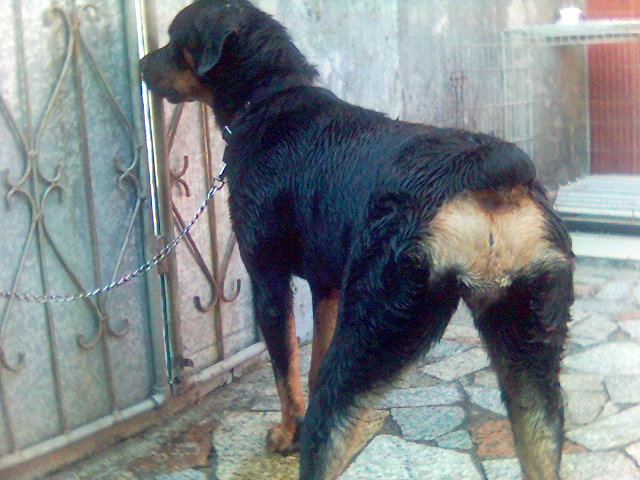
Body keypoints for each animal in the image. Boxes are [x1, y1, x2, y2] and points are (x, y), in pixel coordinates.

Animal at [141, 1, 574, 479]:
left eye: (173, 40)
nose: (141, 66)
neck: (270, 98)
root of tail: (488, 174)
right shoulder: (326, 286)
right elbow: (311, 362)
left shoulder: (268, 282)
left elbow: (285, 372)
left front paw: (288, 433)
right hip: (529, 352)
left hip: (372, 326)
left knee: (328, 425)